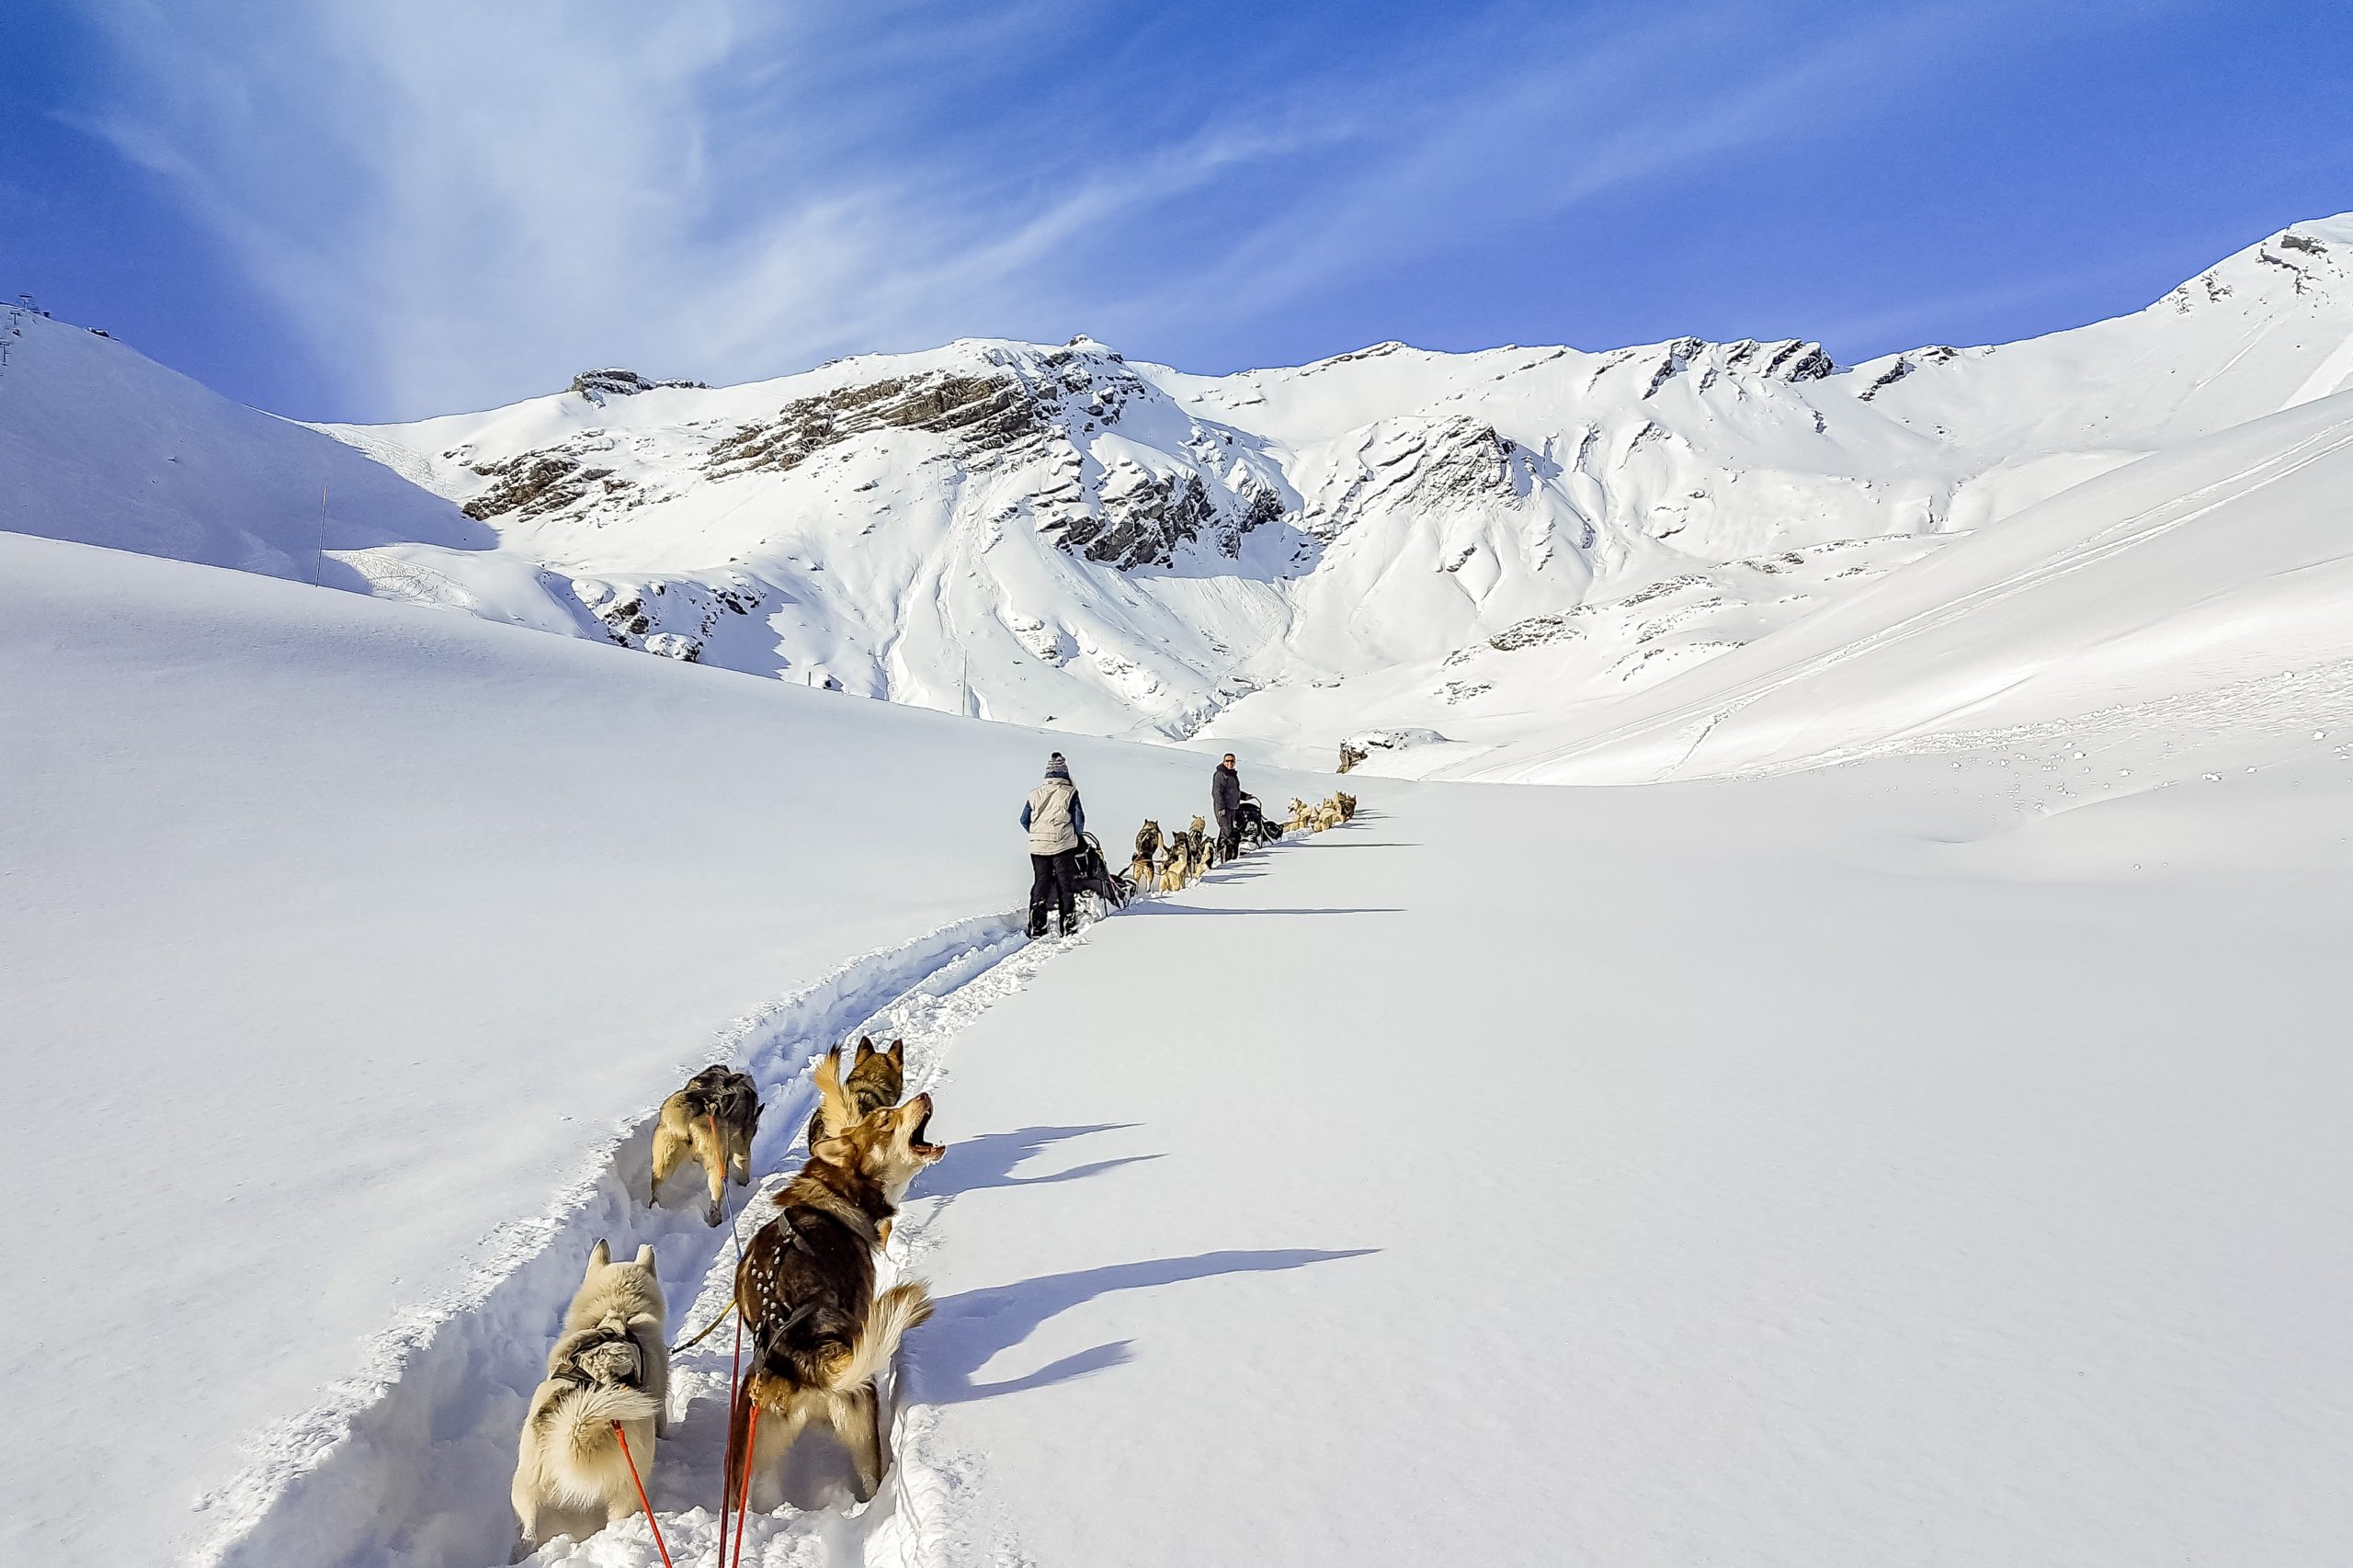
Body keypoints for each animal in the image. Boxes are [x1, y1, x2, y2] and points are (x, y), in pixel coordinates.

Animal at [654, 1063, 762, 1224]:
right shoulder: (742, 1150)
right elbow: (743, 1168)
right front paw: (745, 1185)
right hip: (717, 1163)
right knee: (715, 1199)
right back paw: (716, 1220)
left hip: (663, 1160)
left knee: (656, 1187)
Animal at [724, 1087, 946, 1506]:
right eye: (885, 1119)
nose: (924, 1095)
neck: (829, 1196)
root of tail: (803, 1353)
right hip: (863, 1411)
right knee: (871, 1479)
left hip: (747, 1448)